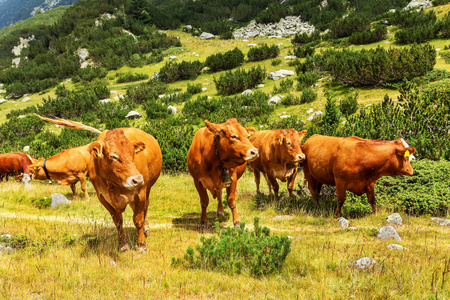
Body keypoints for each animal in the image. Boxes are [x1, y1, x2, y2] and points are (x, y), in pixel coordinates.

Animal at [35, 113, 162, 252]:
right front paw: (123, 245)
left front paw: (142, 245)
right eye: (113, 156)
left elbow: (138, 219)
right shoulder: (102, 197)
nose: (137, 179)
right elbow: (118, 221)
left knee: (145, 207)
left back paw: (145, 228)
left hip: (147, 188)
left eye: (133, 153)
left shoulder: (140, 192)